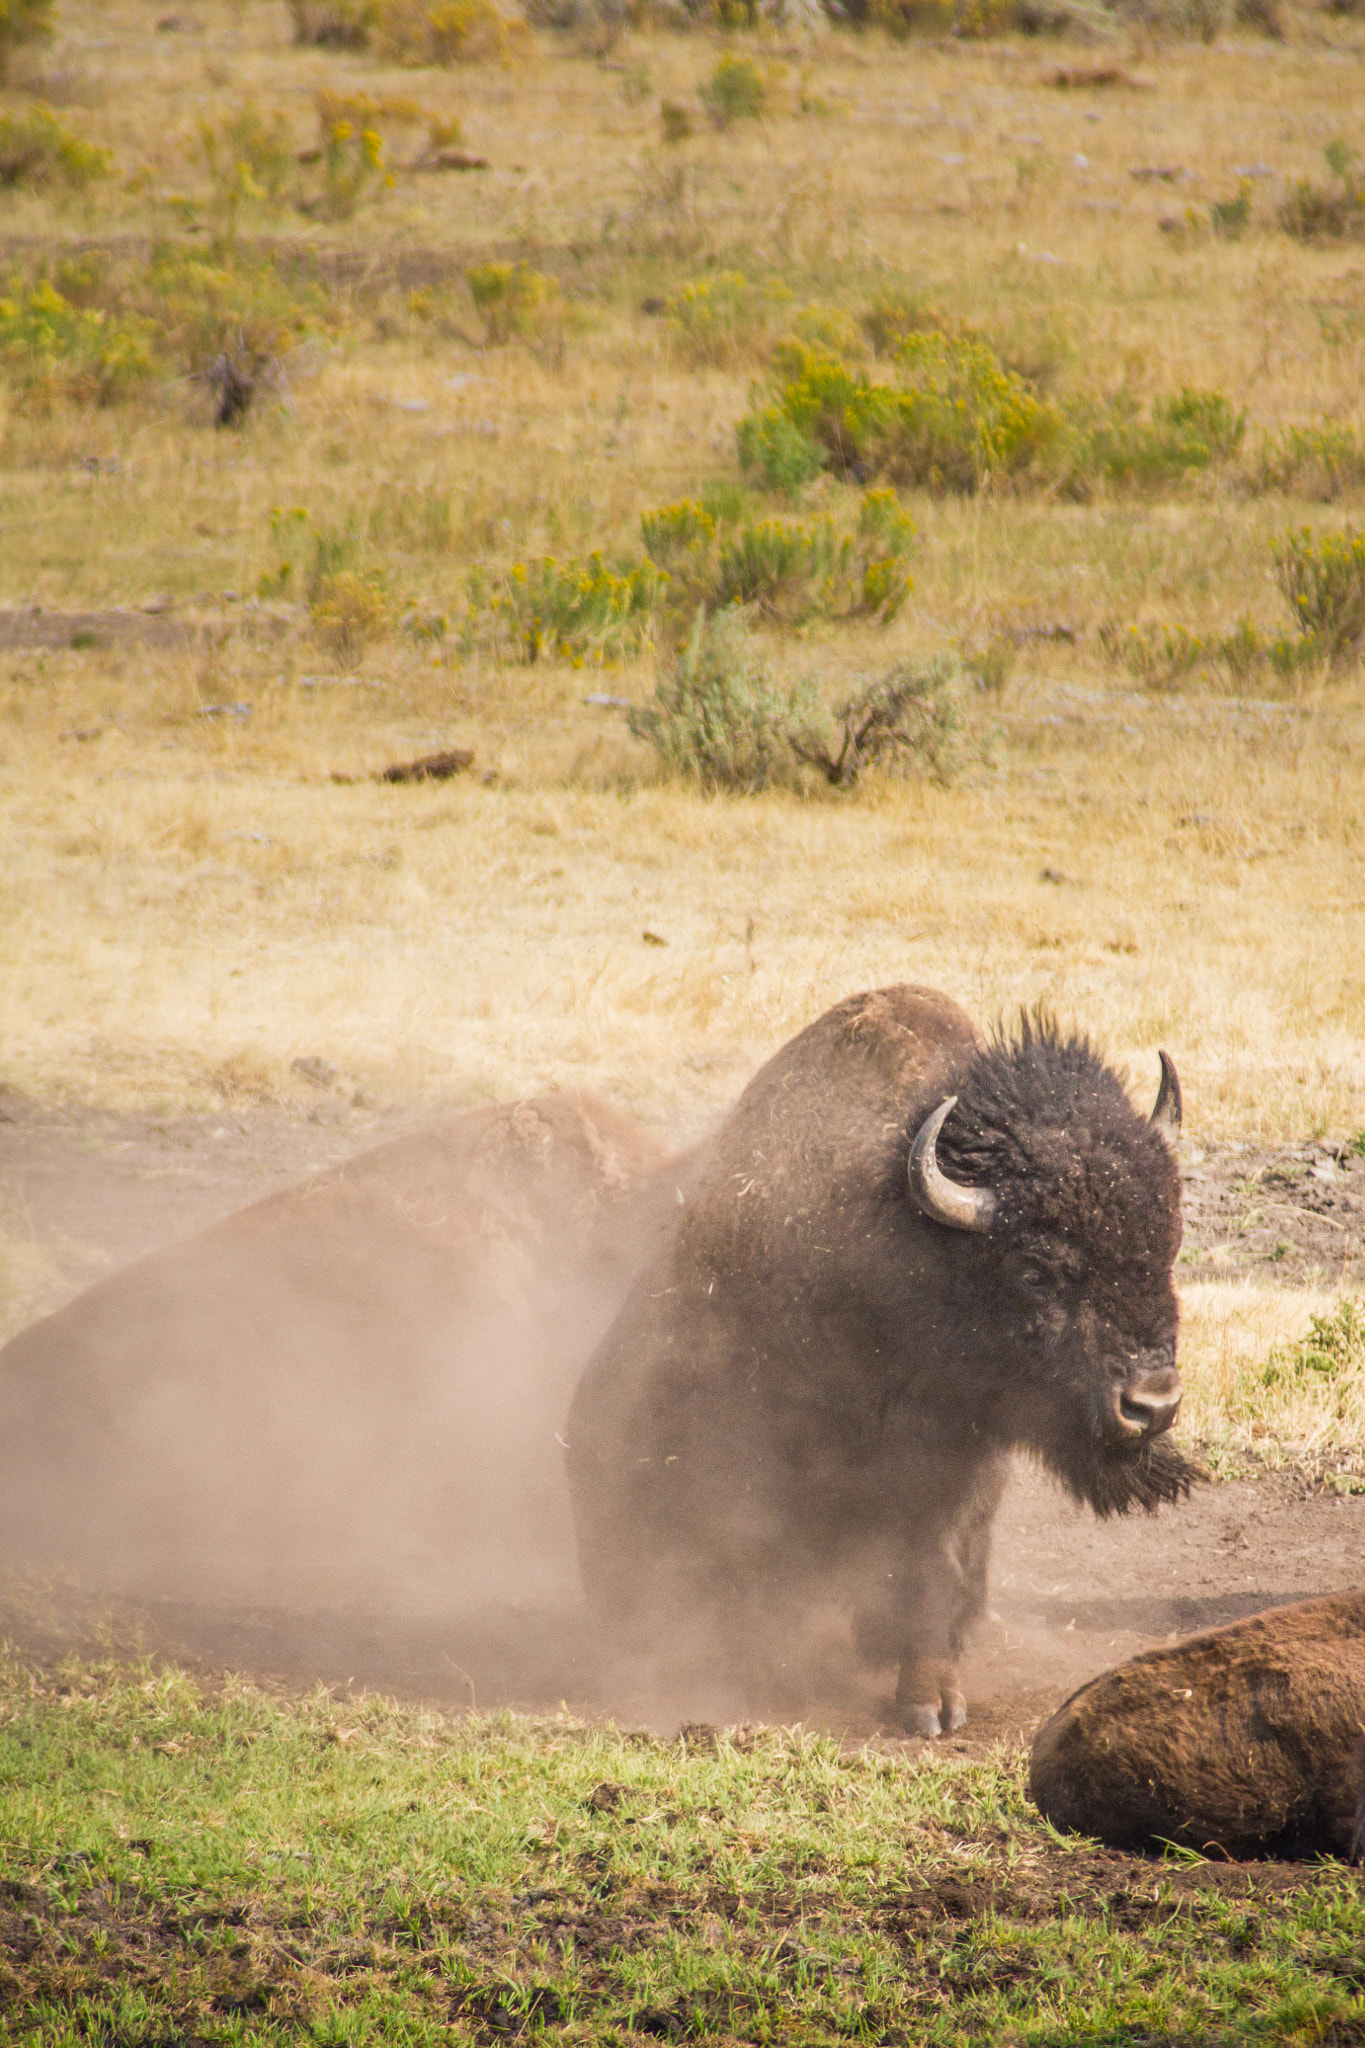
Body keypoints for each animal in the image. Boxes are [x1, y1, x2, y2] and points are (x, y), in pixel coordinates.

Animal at [566, 983, 1200, 1734]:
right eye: (1035, 1269)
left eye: (1167, 1243)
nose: (1152, 1404)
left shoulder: (959, 1475)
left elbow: (934, 1576)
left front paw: (933, 1704)